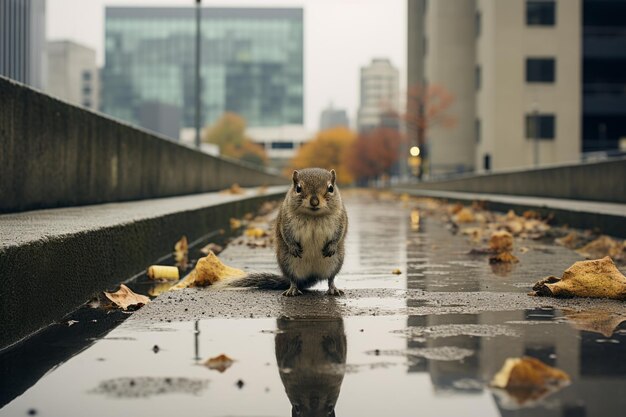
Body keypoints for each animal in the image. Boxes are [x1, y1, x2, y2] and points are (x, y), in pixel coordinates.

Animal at [227, 167, 348, 296]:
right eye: (298, 188)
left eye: (331, 188)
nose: (314, 202)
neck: (313, 216)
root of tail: (312, 276)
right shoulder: (284, 220)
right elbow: (286, 234)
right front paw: (293, 247)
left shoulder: (341, 219)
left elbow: (339, 234)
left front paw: (332, 246)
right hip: (288, 263)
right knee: (293, 279)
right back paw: (293, 289)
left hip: (335, 262)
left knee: (331, 278)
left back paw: (333, 289)